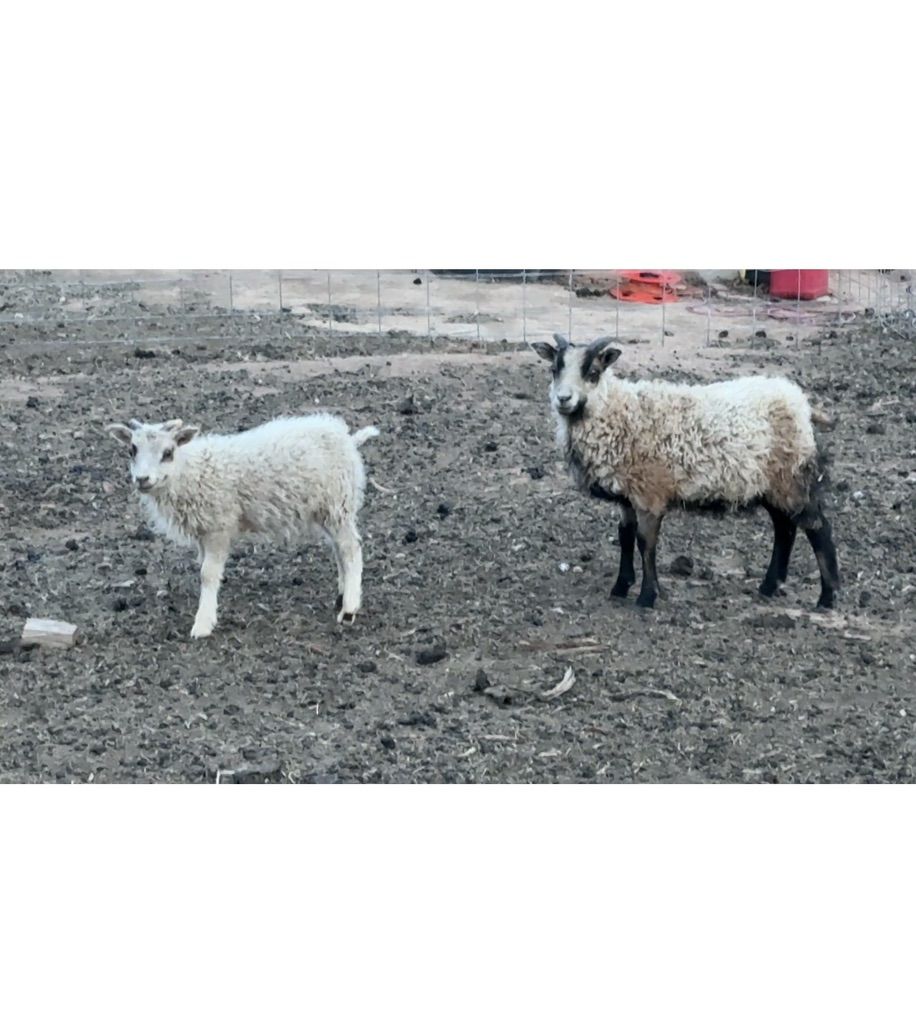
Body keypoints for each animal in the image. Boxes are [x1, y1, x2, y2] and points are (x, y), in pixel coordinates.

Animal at [106, 414, 379, 638]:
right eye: (132, 450)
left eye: (168, 452)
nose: (142, 479)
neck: (189, 472)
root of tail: (347, 438)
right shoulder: (204, 531)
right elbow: (204, 569)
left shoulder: (219, 526)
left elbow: (207, 574)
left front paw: (203, 623)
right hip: (328, 509)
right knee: (339, 550)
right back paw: (342, 596)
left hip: (337, 503)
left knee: (351, 549)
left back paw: (349, 608)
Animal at [531, 333, 840, 611]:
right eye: (554, 369)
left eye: (593, 372)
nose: (563, 399)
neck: (616, 412)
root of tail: (800, 402)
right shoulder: (628, 496)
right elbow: (625, 536)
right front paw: (620, 588)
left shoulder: (649, 493)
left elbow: (645, 543)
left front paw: (646, 598)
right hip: (772, 484)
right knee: (784, 528)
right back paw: (769, 587)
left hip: (793, 476)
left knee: (817, 528)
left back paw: (826, 598)